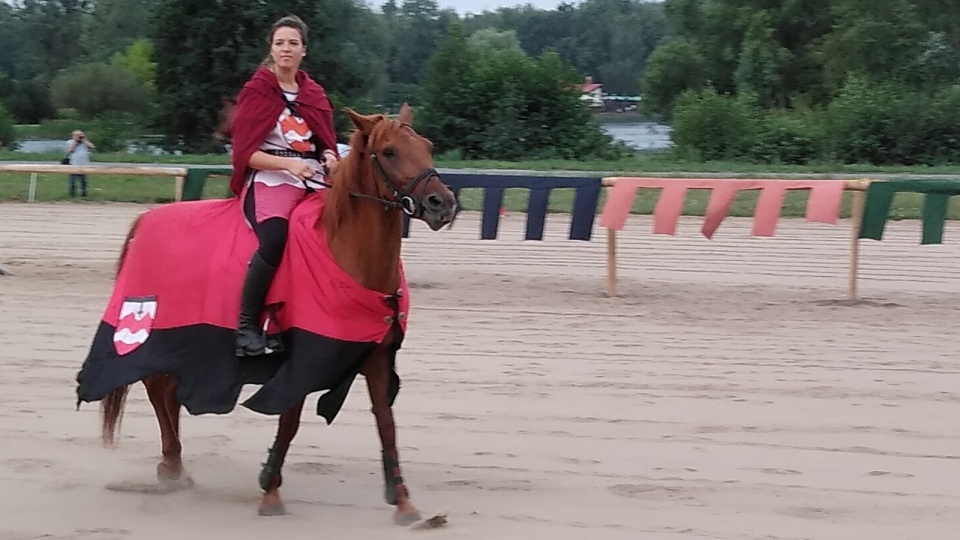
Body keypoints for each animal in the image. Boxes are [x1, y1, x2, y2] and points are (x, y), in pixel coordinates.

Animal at [93, 104, 458, 524]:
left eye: (427, 146)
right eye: (389, 152)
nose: (443, 203)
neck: (343, 251)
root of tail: (148, 219)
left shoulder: (377, 358)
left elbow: (387, 425)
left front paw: (403, 501)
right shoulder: (301, 360)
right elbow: (289, 422)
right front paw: (270, 492)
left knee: (166, 391)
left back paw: (174, 467)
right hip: (161, 332)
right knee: (156, 388)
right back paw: (172, 466)